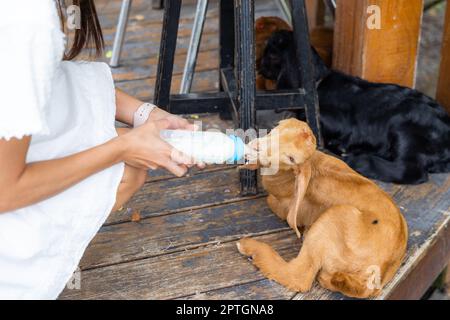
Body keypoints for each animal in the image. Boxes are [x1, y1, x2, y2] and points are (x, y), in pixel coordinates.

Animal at [239, 119, 408, 298]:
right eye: (277, 128)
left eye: (291, 158)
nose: (256, 148)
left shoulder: (285, 207)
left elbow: (272, 201)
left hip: (333, 217)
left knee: (299, 276)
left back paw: (249, 247)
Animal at [258, 30, 450, 185]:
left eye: (270, 54)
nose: (259, 65)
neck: (319, 82)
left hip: (405, 127)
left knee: (410, 170)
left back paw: (358, 160)